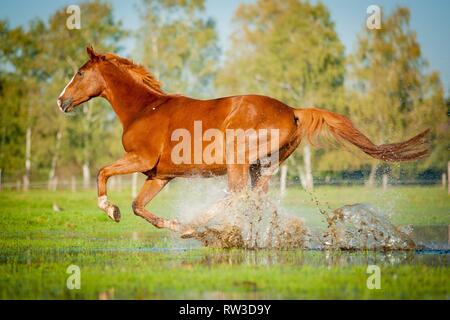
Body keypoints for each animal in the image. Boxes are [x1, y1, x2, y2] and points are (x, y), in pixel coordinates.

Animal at [57, 46, 428, 231]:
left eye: (80, 73)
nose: (61, 101)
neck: (145, 109)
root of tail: (293, 111)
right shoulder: (159, 175)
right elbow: (138, 206)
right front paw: (164, 222)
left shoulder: (140, 159)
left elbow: (103, 172)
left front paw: (110, 210)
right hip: (261, 168)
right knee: (254, 199)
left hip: (238, 160)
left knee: (237, 197)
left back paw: (196, 225)